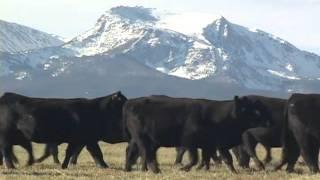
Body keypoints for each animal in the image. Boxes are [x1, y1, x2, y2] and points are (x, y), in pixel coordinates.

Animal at [122, 95, 270, 173]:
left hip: (144, 140)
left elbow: (222, 158)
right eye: (252, 111)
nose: (267, 121)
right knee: (146, 153)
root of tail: (131, 102)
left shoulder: (212, 144)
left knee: (136, 152)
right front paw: (185, 169)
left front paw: (232, 171)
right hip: (142, 138)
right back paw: (154, 170)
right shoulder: (190, 142)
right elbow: (195, 158)